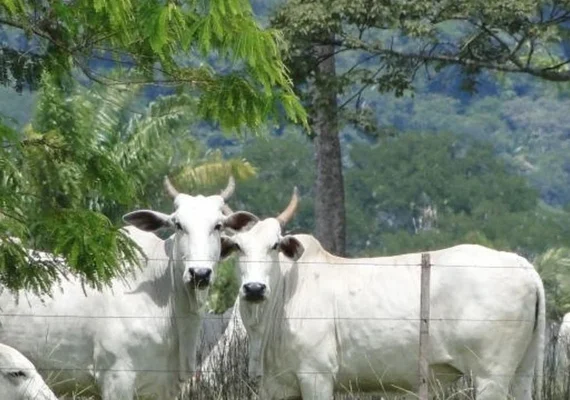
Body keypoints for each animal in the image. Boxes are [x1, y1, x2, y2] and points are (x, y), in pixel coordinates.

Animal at [216, 189, 540, 400]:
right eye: (239, 247)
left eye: (274, 245)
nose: (254, 289)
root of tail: (522, 264)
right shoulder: (276, 386)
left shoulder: (316, 376)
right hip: (522, 373)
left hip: (491, 376)